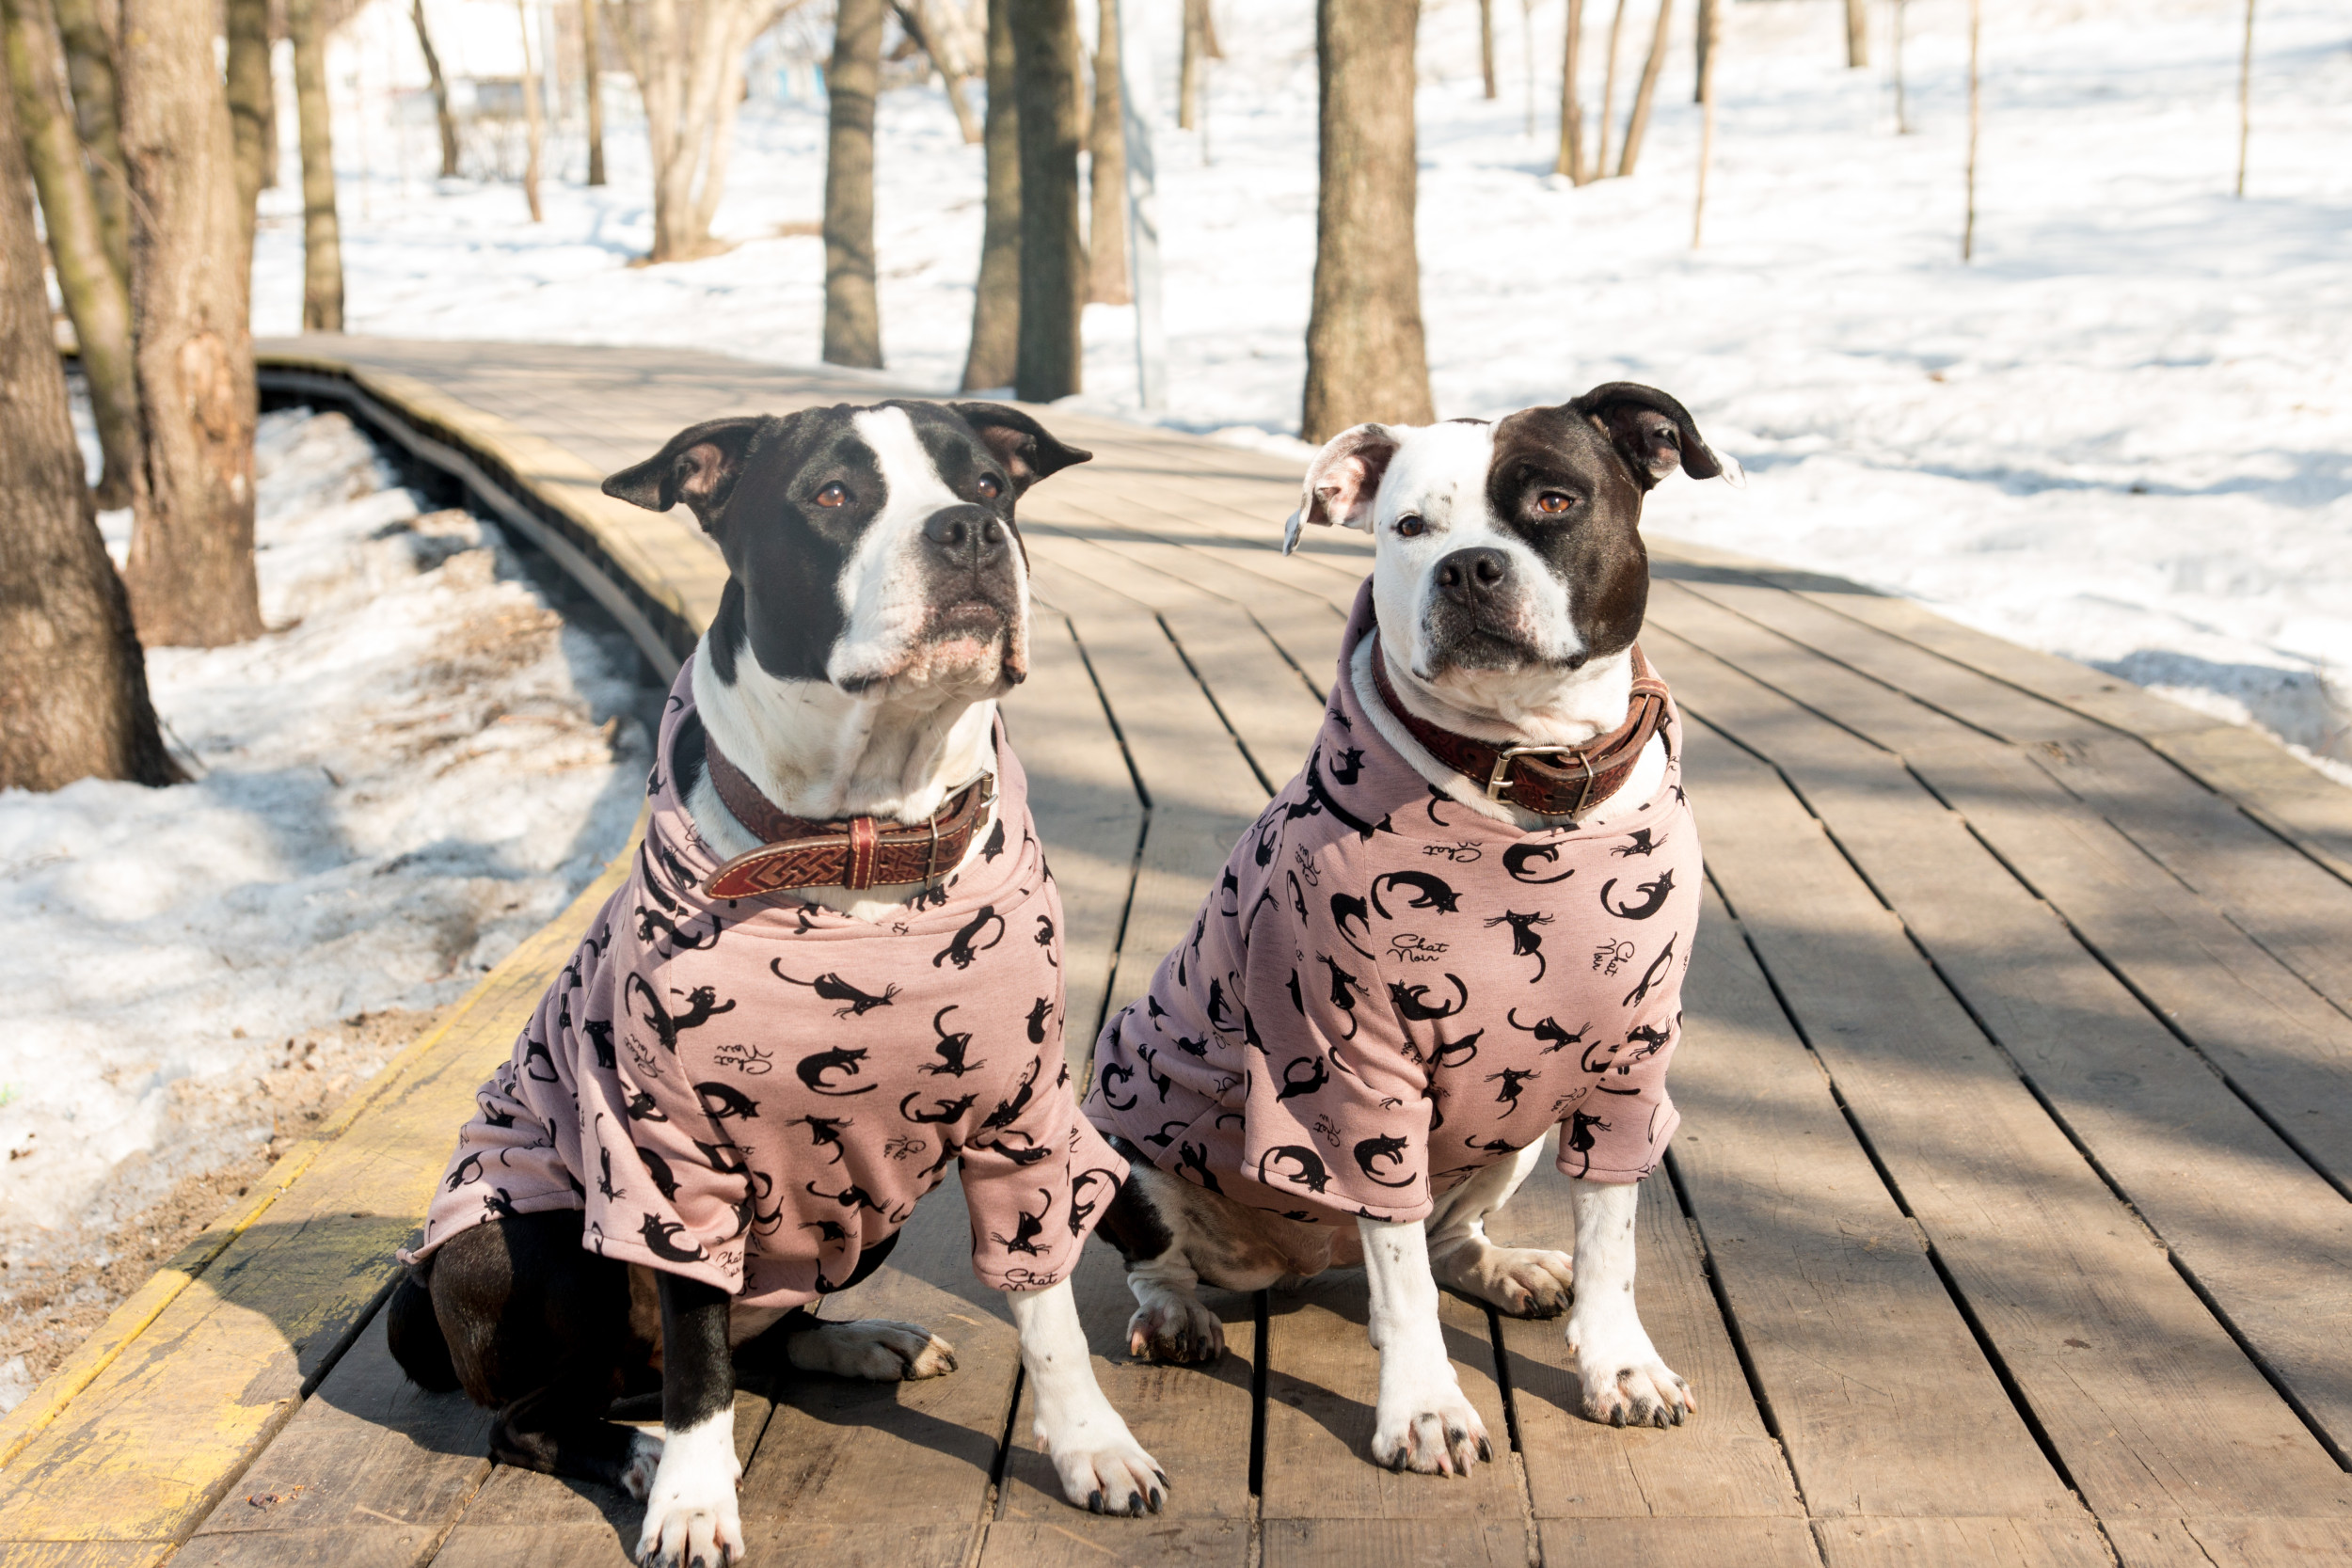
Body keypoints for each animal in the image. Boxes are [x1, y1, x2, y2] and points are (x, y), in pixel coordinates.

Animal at [392, 404, 1167, 1568]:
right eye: (833, 495)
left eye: (989, 481)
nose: (969, 529)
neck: (866, 844)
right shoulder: (666, 1159)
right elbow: (699, 1357)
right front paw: (692, 1503)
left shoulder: (1021, 1121)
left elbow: (1048, 1307)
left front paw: (1092, 1445)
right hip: (533, 1236)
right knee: (545, 1411)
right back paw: (640, 1452)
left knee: (759, 1336)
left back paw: (859, 1343)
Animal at [1082, 385, 1731, 1476]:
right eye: (1410, 527)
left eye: (1554, 500)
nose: (1467, 566)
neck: (1528, 786)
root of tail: (1302, 1259)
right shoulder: (1355, 1080)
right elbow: (1401, 1276)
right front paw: (1425, 1408)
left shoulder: (1627, 1062)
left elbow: (1613, 1241)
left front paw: (1621, 1366)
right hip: (1127, 1136)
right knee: (1162, 1262)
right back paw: (1174, 1316)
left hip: (1513, 1135)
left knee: (1447, 1240)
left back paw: (1507, 1268)